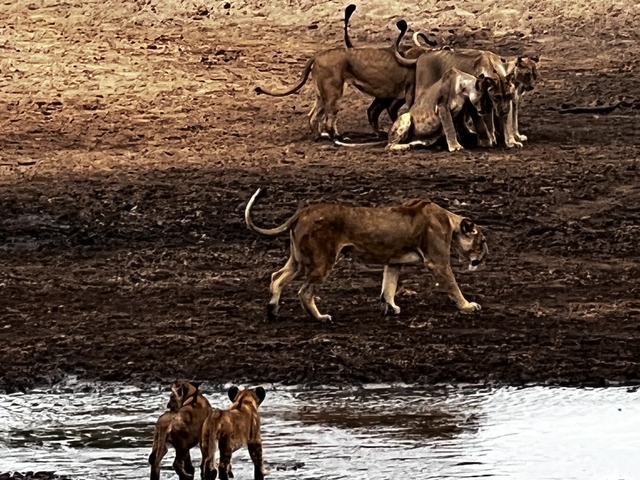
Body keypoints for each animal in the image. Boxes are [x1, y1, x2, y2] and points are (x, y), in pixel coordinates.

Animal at [245, 189, 488, 322]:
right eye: (483, 242)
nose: (486, 257)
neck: (449, 221)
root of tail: (302, 212)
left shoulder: (393, 262)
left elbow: (388, 287)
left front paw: (391, 308)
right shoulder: (437, 263)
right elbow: (453, 286)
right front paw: (467, 306)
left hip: (299, 260)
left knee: (276, 277)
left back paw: (273, 312)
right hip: (322, 260)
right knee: (304, 292)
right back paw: (320, 318)